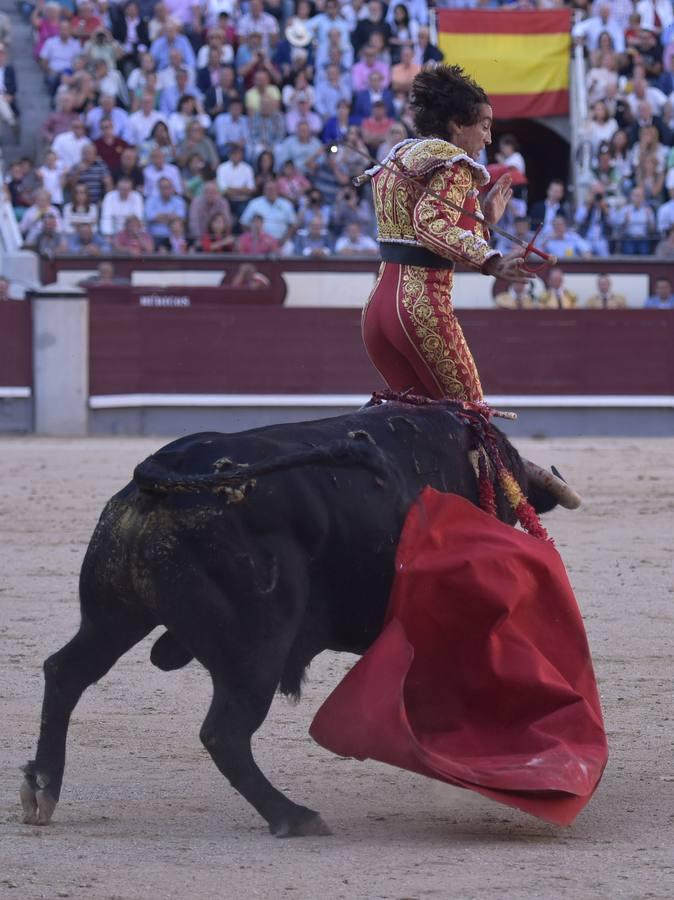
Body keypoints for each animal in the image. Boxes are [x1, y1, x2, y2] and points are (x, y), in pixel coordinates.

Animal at [21, 400, 560, 836]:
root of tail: (161, 474)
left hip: (114, 616)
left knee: (65, 671)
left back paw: (42, 788)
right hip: (255, 650)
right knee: (224, 733)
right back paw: (294, 816)